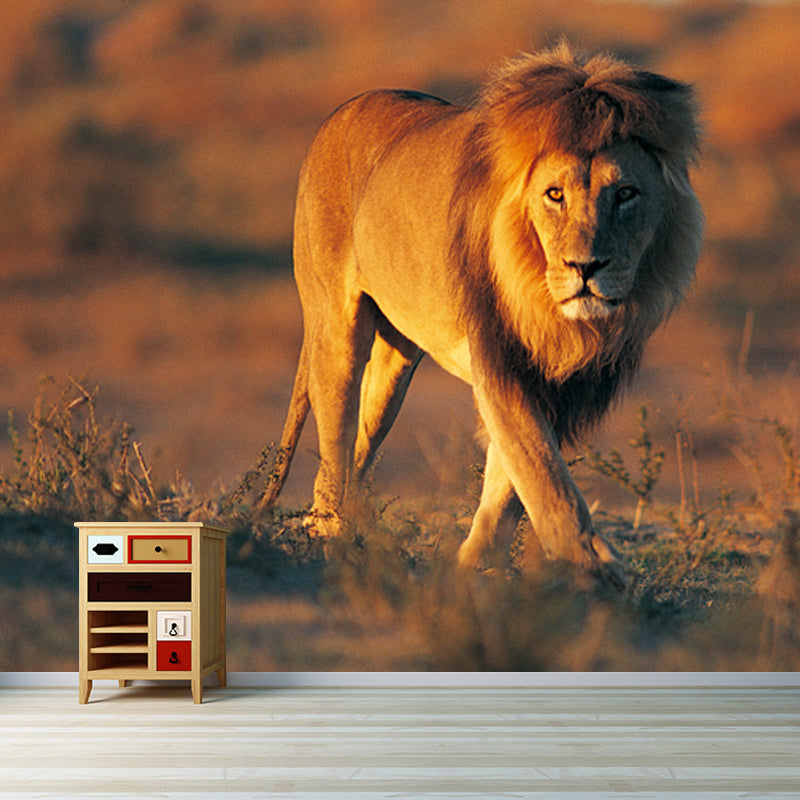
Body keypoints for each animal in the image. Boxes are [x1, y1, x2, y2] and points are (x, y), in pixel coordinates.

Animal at [260, 44, 703, 587]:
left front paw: (472, 564)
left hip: (396, 362)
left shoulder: (559, 382)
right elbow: (542, 473)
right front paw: (592, 565)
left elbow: (508, 481)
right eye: (555, 194)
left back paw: (352, 528)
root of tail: (342, 109)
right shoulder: (499, 359)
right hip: (335, 329)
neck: (556, 311)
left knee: (359, 448)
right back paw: (332, 533)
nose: (585, 267)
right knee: (334, 446)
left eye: (625, 194)